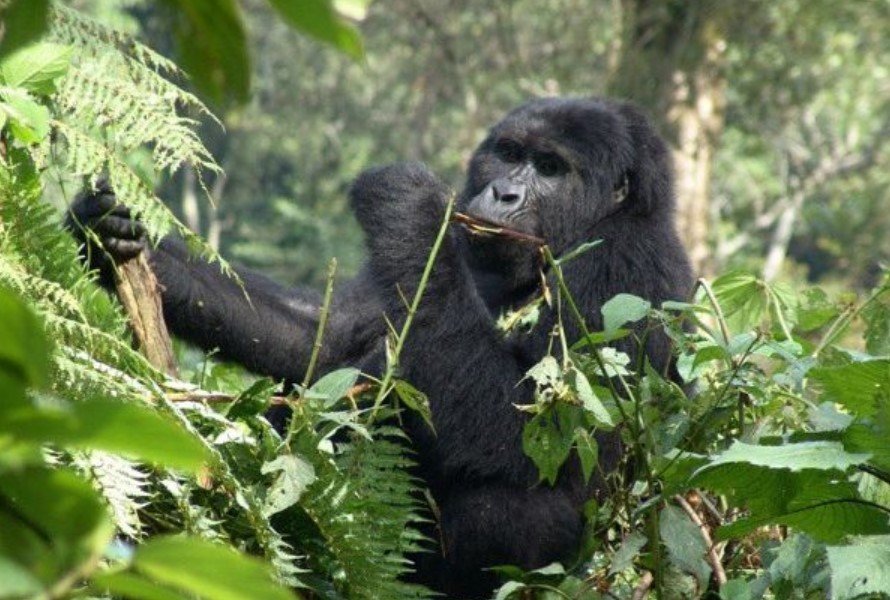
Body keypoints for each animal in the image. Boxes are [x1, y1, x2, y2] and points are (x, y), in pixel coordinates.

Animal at [69, 96, 692, 596]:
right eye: (510, 153)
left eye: (551, 169)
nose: (504, 191)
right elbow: (323, 340)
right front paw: (108, 232)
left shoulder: (625, 270)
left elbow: (535, 438)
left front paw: (410, 203)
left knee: (514, 514)